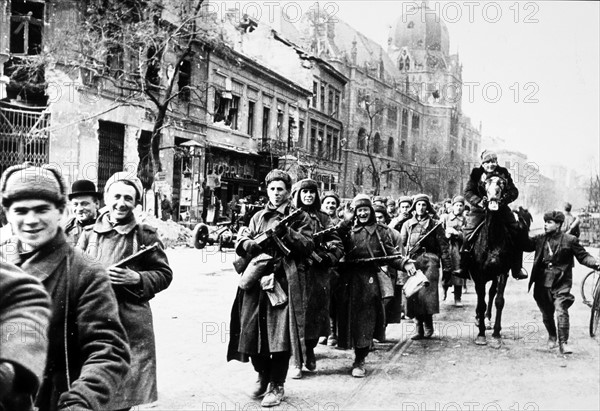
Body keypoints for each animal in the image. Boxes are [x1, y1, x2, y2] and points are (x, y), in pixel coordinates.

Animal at [466, 176, 528, 348]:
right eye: (485, 183)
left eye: (502, 183)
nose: (493, 198)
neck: (492, 239)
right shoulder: (479, 275)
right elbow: (480, 303)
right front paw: (481, 335)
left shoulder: (501, 273)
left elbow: (499, 301)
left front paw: (496, 334)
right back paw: (480, 320)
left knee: (491, 294)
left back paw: (487, 319)